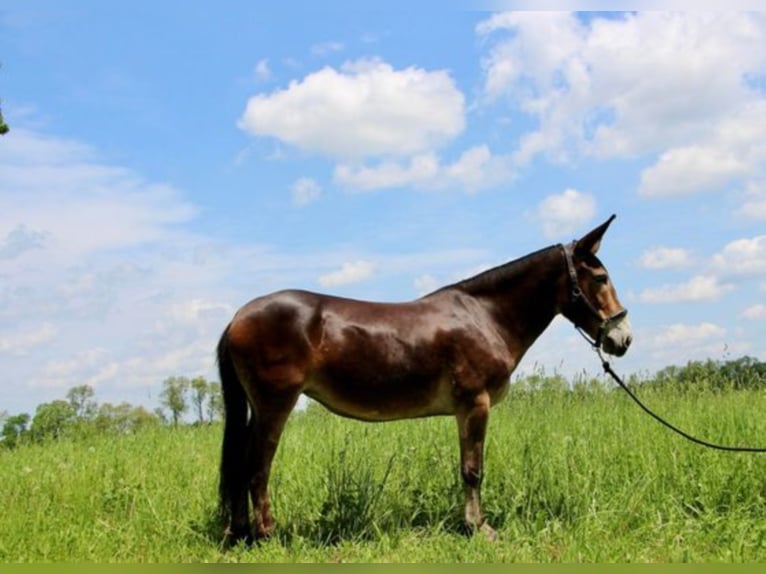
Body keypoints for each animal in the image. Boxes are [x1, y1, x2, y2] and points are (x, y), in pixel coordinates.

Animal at [214, 215, 632, 544]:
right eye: (600, 277)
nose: (623, 338)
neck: (485, 316)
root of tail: (238, 317)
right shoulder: (474, 403)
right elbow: (473, 470)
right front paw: (479, 528)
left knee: (240, 465)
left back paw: (241, 533)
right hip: (275, 405)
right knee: (257, 465)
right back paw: (266, 534)